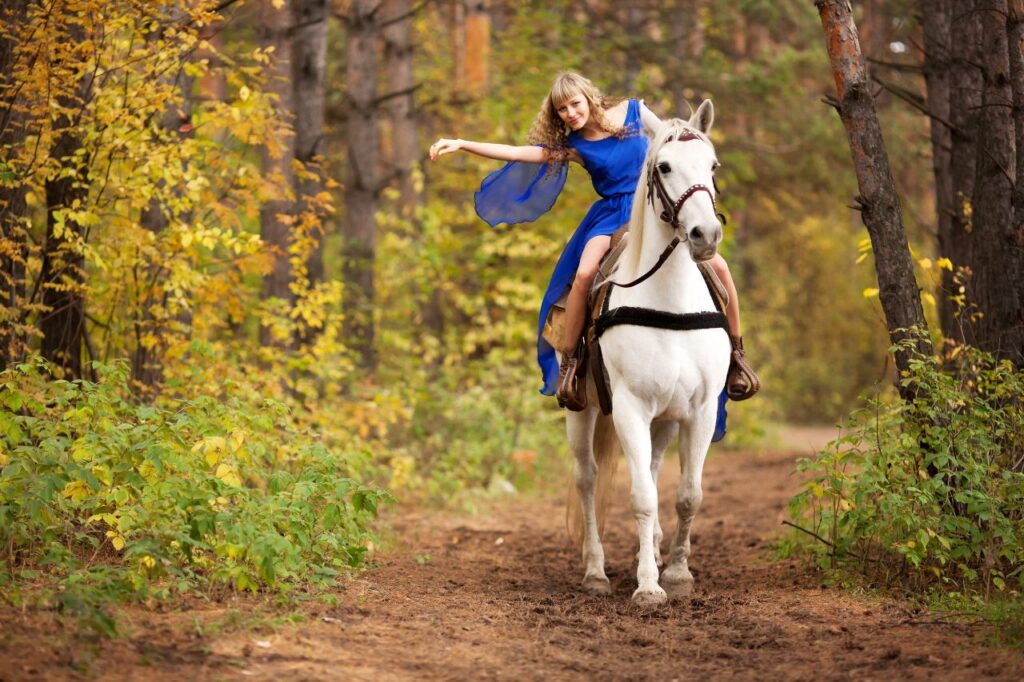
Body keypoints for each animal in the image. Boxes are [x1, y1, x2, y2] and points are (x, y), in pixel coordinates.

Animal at [566, 100, 730, 608]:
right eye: (664, 167)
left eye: (712, 165)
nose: (705, 234)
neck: (669, 303)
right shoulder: (630, 409)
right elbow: (640, 497)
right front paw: (647, 585)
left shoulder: (698, 411)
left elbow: (687, 495)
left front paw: (675, 572)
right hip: (582, 410)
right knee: (588, 478)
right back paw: (594, 570)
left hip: (666, 418)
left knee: (656, 472)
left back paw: (655, 550)